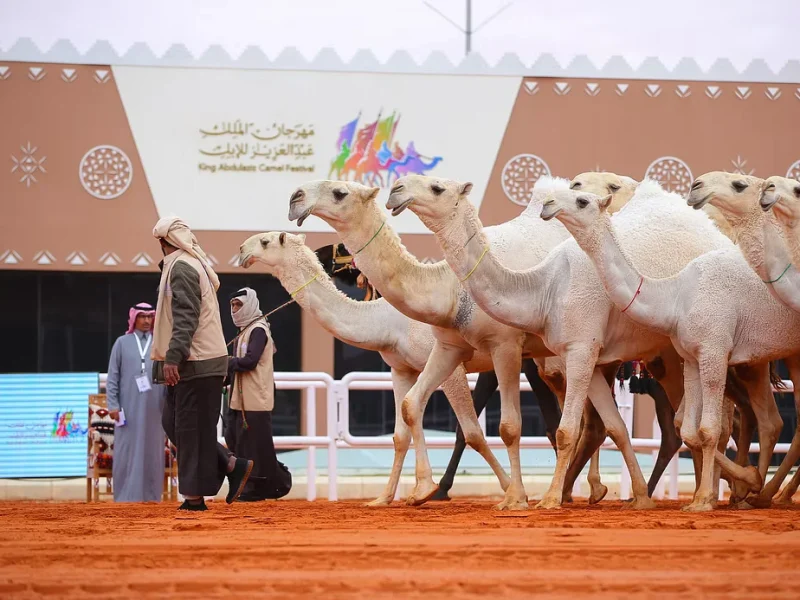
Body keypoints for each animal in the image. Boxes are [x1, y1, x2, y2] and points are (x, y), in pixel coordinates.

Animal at [290, 180, 616, 508]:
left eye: (339, 193)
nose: (296, 197)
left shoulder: (489, 352)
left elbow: (477, 429)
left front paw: (507, 493)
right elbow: (423, 420)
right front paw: (425, 489)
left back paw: (576, 489)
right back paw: (586, 488)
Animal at [390, 173, 756, 510]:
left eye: (437, 187)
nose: (395, 189)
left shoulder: (538, 347)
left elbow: (550, 428)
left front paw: (538, 497)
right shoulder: (563, 357)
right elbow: (608, 426)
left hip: (704, 343)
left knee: (715, 421)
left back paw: (723, 492)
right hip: (668, 355)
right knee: (684, 424)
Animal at [544, 185, 800, 508]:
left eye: (581, 200)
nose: (547, 204)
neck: (676, 295)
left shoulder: (714, 350)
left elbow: (709, 428)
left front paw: (704, 499)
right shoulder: (691, 355)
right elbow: (690, 430)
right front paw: (722, 488)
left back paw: (760, 494)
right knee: (769, 422)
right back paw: (755, 493)